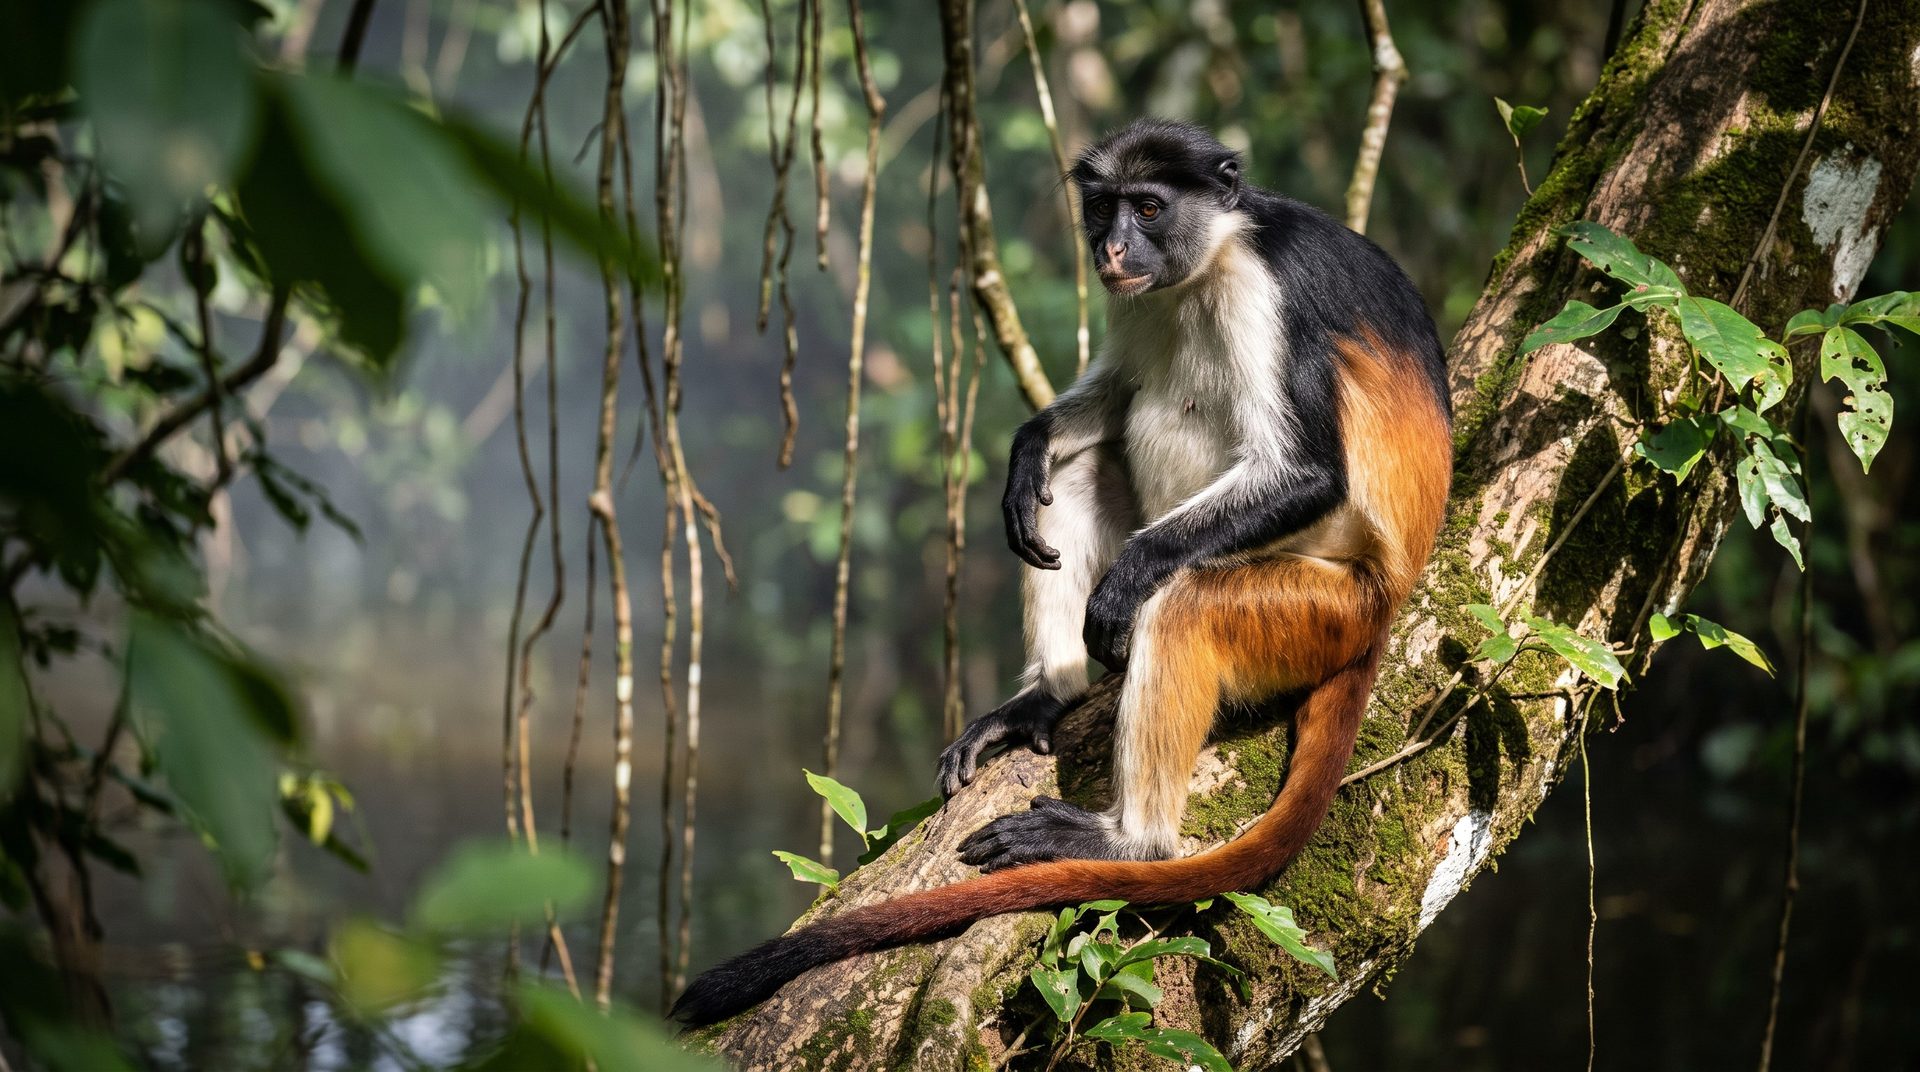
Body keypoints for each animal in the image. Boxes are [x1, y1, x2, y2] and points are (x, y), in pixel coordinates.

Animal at [672, 119, 1451, 1028]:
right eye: (1104, 208)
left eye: (1149, 208)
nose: (1113, 247)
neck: (1214, 253)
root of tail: (1388, 598)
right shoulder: (1143, 291)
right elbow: (1105, 404)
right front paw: (1028, 448)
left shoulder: (1265, 289)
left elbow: (1309, 475)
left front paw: (1124, 580)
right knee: (1082, 472)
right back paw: (1048, 692)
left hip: (1320, 606)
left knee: (1185, 605)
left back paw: (1131, 840)